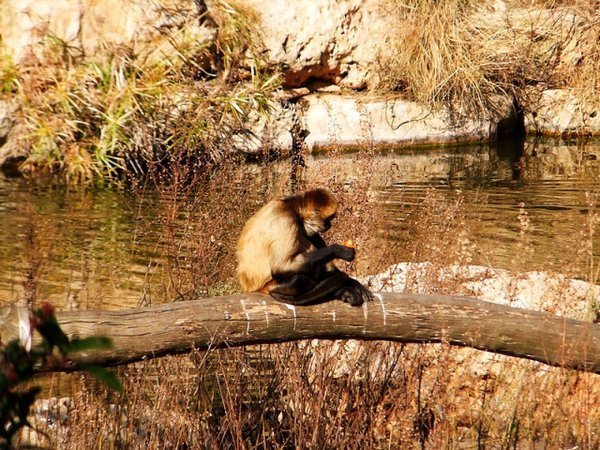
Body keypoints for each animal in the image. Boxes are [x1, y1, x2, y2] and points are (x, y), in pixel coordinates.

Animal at [237, 186, 372, 306]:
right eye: (328, 220)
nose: (330, 225)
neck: (291, 206)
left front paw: (352, 282)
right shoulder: (285, 220)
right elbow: (281, 267)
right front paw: (339, 250)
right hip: (270, 285)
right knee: (297, 278)